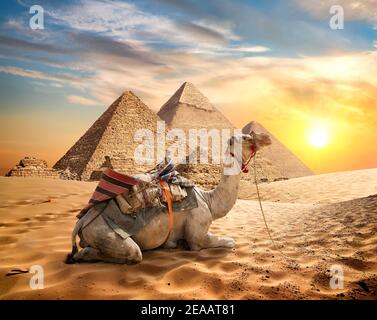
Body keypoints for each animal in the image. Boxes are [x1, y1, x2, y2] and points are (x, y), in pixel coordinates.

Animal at [70, 124, 270, 264]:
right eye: (246, 137)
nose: (267, 137)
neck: (209, 201)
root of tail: (82, 221)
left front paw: (176, 244)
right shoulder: (198, 234)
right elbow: (229, 242)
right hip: (105, 233)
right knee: (131, 253)